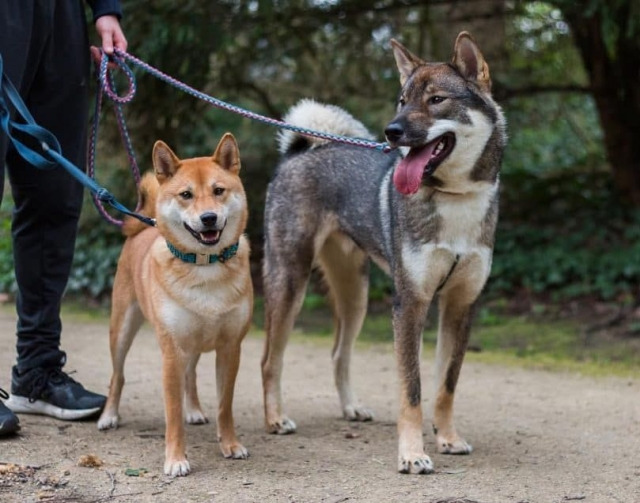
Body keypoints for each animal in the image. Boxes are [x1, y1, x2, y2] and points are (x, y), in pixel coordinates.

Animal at [260, 32, 504, 476]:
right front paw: (412, 454)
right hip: (289, 283)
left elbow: (445, 386)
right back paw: (275, 419)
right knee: (270, 359)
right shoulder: (409, 304)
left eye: (436, 99)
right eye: (401, 100)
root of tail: (301, 150)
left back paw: (351, 408)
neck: (454, 198)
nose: (391, 132)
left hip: (355, 296)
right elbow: (412, 391)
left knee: (339, 353)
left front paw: (448, 438)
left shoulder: (460, 305)